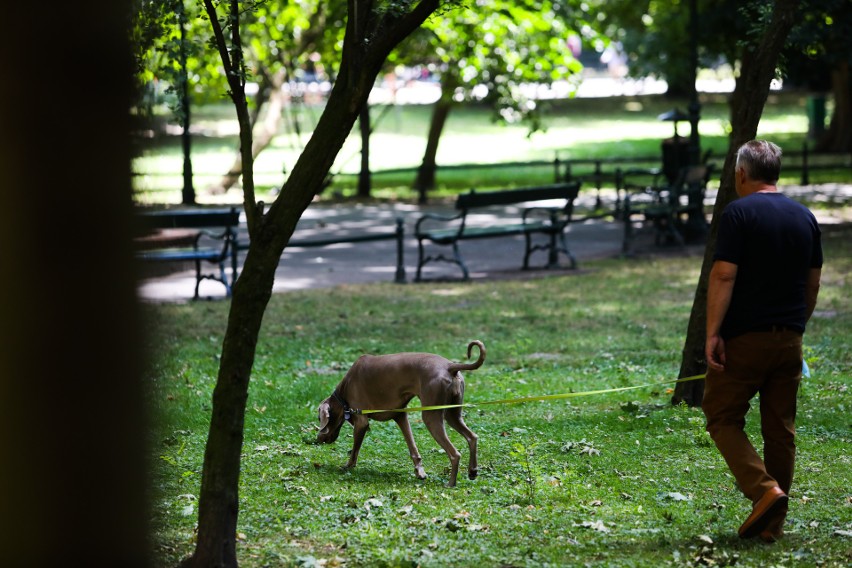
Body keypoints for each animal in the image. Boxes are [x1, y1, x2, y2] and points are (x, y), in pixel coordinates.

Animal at [316, 340, 486, 486]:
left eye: (319, 418)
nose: (318, 439)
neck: (345, 389)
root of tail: (450, 366)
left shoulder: (361, 422)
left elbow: (354, 451)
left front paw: (348, 466)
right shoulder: (400, 416)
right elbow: (413, 448)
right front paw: (419, 472)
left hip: (431, 416)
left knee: (455, 453)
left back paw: (450, 484)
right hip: (452, 414)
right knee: (472, 437)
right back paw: (472, 471)